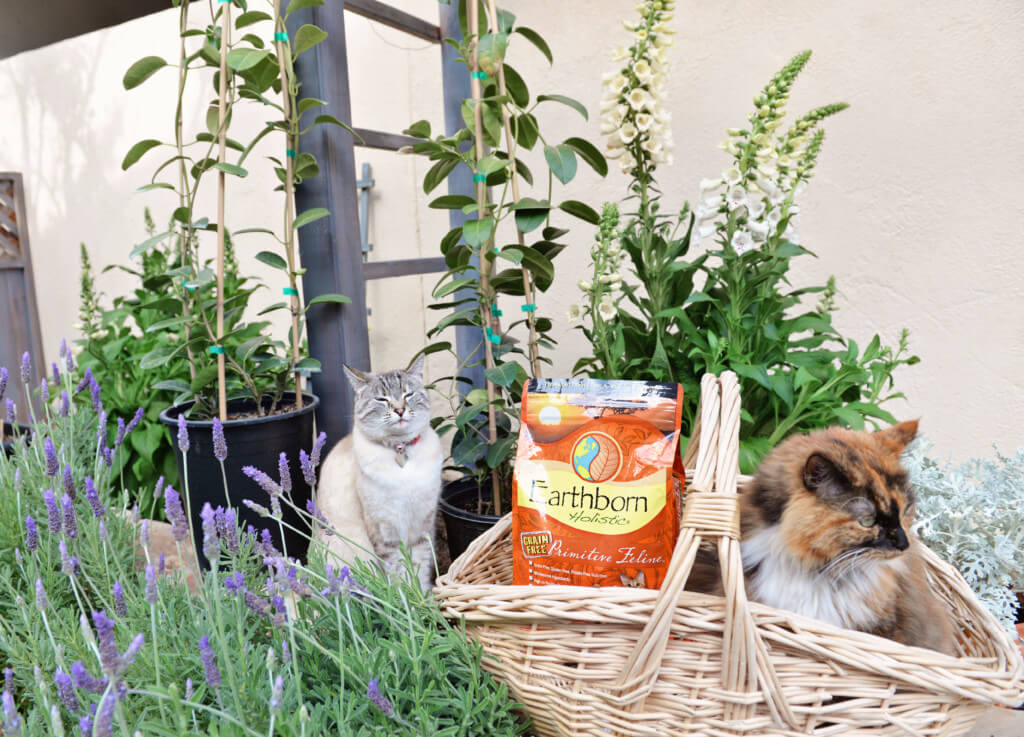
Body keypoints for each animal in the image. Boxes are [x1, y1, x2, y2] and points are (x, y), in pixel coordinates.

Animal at [311, 356, 440, 593]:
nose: (400, 410)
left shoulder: (422, 525)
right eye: (382, 399)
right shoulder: (384, 529)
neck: (400, 449)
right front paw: (406, 599)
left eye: (408, 394)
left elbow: (420, 569)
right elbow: (397, 573)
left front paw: (424, 598)